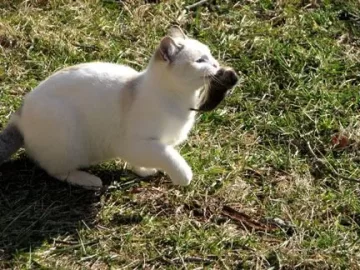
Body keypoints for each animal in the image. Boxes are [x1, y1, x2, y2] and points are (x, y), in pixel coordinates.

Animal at [0, 26, 235, 189]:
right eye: (201, 60)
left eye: (211, 56)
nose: (217, 65)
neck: (182, 102)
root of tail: (19, 114)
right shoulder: (140, 143)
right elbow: (173, 160)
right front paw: (183, 177)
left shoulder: (149, 146)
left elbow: (143, 161)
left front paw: (145, 170)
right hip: (68, 138)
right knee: (56, 170)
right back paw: (88, 180)